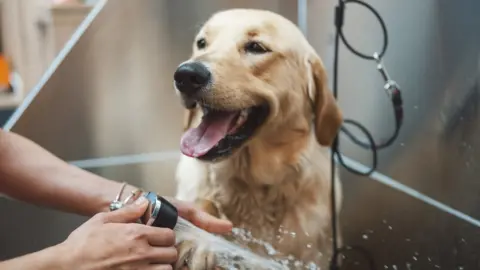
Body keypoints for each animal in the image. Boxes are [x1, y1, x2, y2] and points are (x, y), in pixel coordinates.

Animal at [172, 8, 342, 270]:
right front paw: (197, 239)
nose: (186, 75)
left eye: (256, 47)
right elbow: (203, 203)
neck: (252, 184)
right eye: (201, 43)